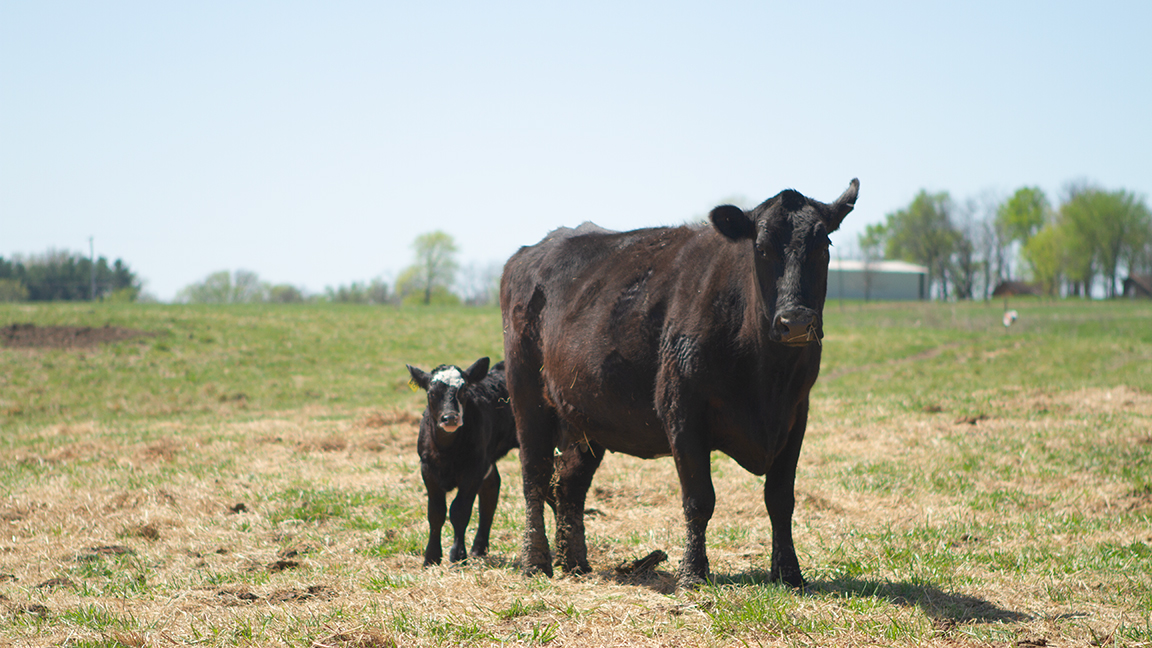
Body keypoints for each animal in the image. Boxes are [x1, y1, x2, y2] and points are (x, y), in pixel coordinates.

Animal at [406, 357, 518, 566]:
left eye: (464, 391)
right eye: (432, 393)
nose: (450, 418)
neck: (446, 451)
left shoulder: (473, 470)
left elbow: (459, 510)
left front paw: (458, 556)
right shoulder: (427, 470)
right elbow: (436, 512)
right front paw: (431, 557)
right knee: (491, 491)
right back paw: (479, 548)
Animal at [500, 179, 858, 588]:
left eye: (823, 246)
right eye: (762, 248)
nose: (795, 321)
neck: (768, 377)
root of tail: (530, 252)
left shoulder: (796, 414)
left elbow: (780, 499)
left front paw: (788, 574)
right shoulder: (682, 409)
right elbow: (699, 499)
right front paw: (692, 573)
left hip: (584, 412)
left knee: (569, 483)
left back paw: (573, 561)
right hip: (525, 390)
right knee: (534, 475)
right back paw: (535, 561)